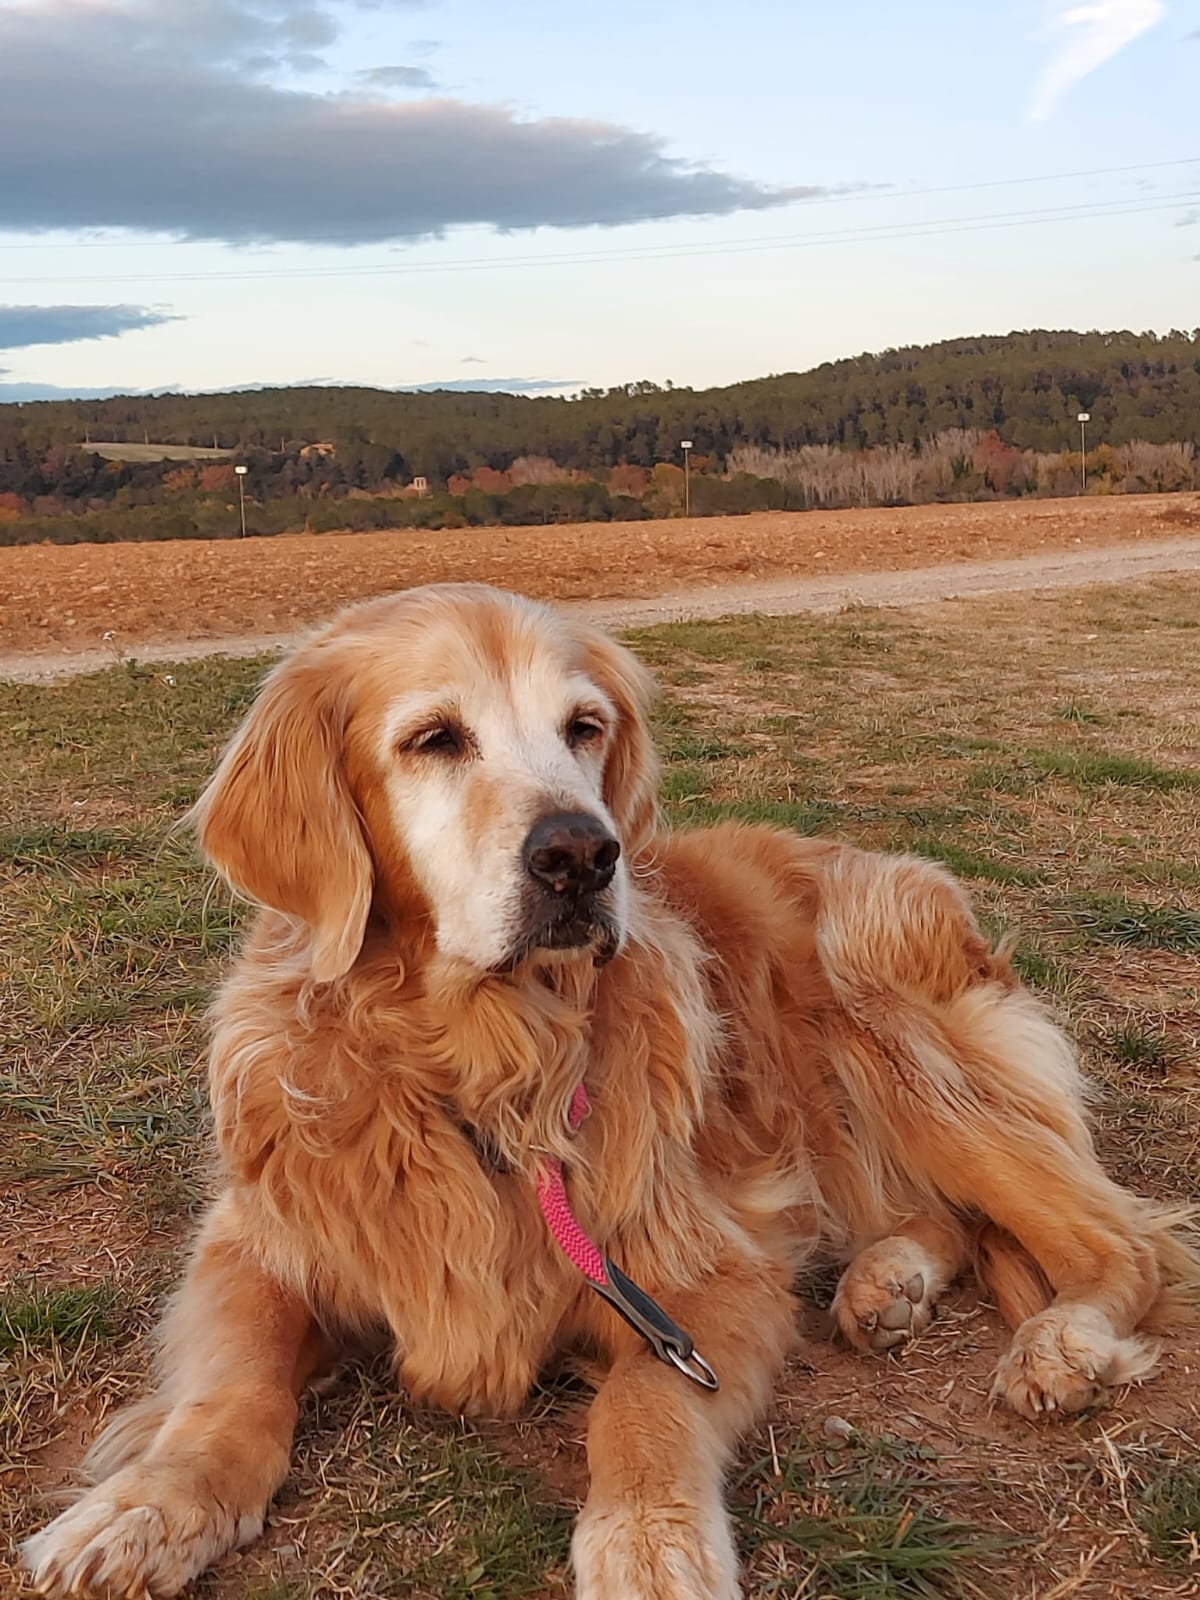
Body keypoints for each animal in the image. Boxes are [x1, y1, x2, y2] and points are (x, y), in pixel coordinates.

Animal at [23, 585, 1196, 1600]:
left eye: (584, 727)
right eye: (435, 739)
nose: (583, 854)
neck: (481, 1072)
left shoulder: (702, 1272)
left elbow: (640, 1405)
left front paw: (648, 1545)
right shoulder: (258, 1238)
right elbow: (230, 1392)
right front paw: (143, 1509)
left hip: (889, 1025)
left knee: (1123, 1238)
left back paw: (1062, 1340)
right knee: (945, 1217)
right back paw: (887, 1280)